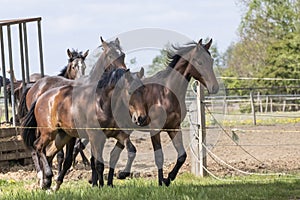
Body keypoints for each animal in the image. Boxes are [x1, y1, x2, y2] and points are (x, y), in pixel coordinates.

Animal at [118, 38, 220, 186]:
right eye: (199, 62)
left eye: (211, 60)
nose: (214, 87)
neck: (166, 93)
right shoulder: (155, 129)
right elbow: (159, 156)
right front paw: (161, 181)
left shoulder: (174, 127)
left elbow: (182, 155)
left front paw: (168, 178)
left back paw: (121, 173)